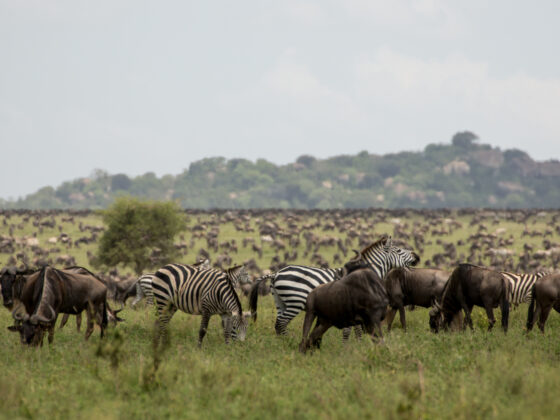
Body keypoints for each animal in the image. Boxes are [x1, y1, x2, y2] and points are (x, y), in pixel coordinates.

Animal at [250, 236, 420, 338]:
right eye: (399, 250)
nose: (417, 256)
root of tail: (276, 273)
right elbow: (354, 330)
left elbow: (356, 329)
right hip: (295, 301)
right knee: (282, 323)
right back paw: (287, 343)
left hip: (280, 302)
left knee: (279, 324)